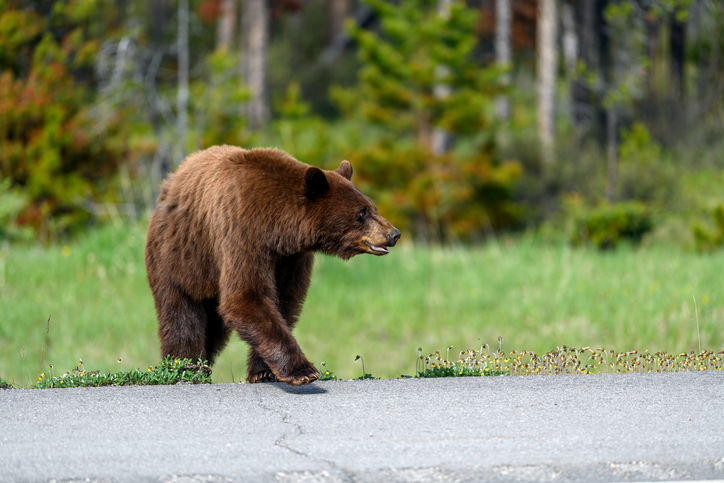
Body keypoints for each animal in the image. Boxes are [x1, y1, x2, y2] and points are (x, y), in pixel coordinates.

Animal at [144, 146, 398, 388]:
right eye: (361, 212)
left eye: (372, 207)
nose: (394, 234)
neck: (276, 226)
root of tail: (167, 187)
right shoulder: (242, 234)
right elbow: (246, 296)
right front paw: (302, 371)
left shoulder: (290, 257)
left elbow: (284, 301)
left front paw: (264, 371)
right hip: (176, 260)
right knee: (181, 316)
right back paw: (186, 367)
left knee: (214, 329)